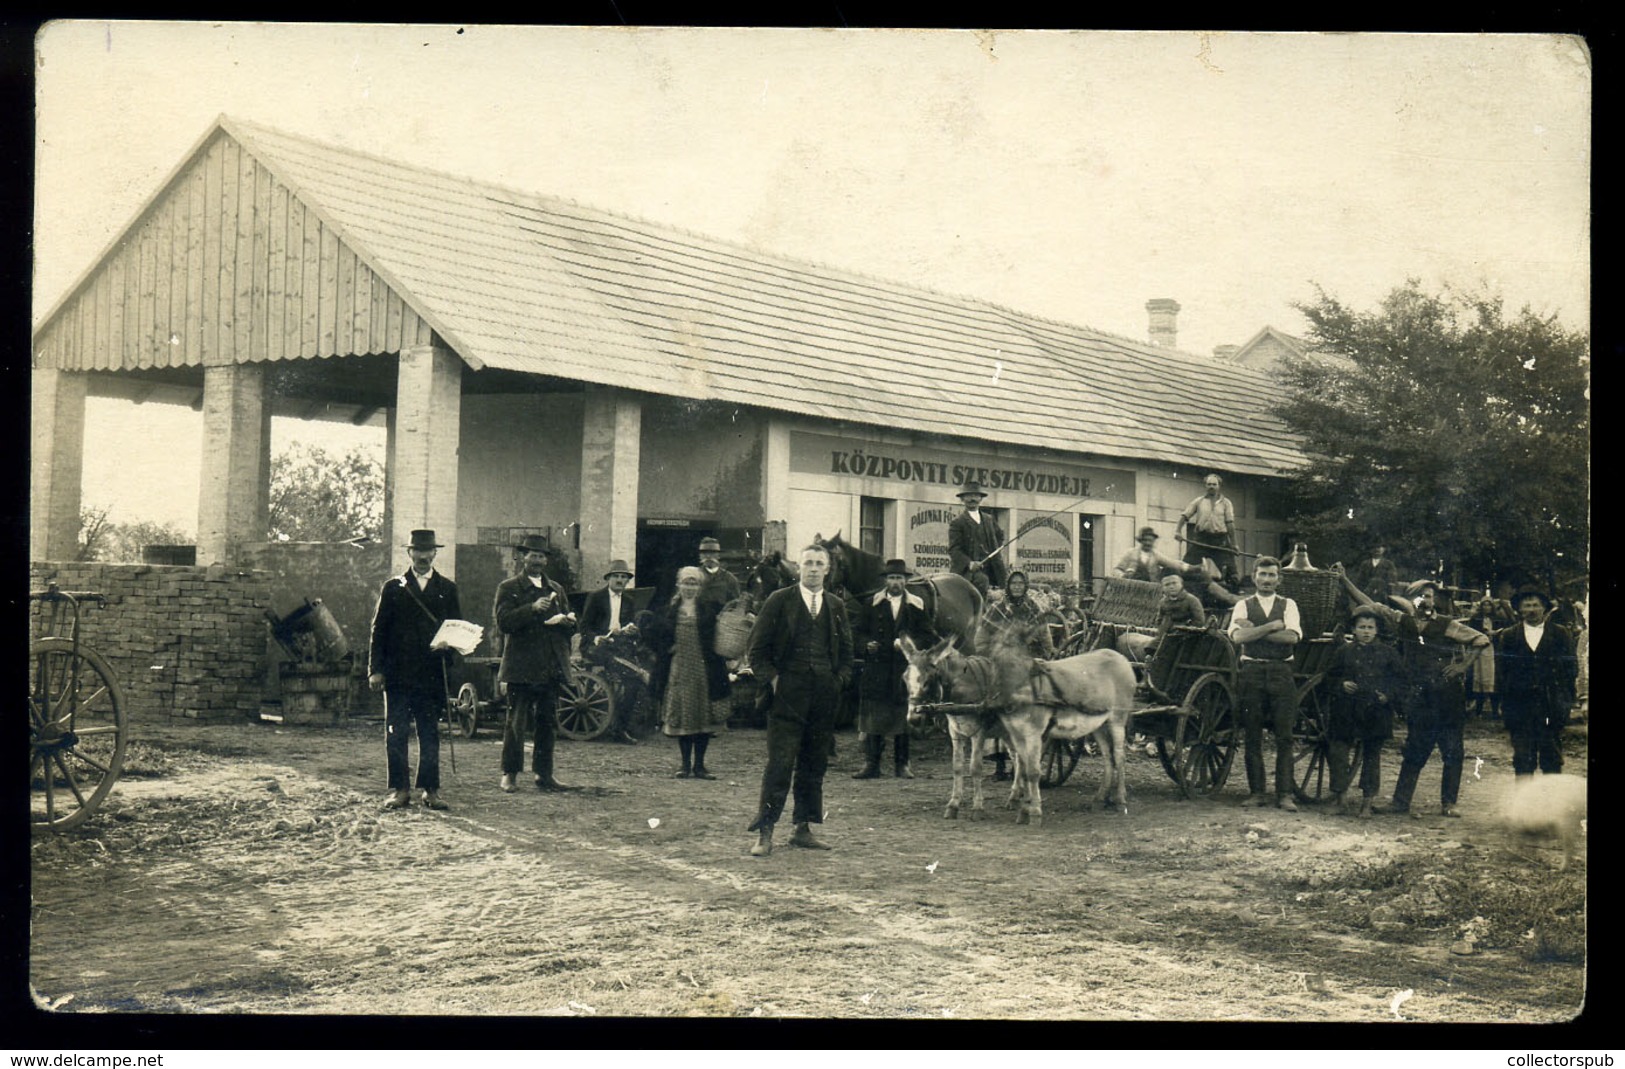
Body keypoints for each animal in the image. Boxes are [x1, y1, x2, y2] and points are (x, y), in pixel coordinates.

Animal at [903, 627, 1144, 818]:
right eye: (905, 678)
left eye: (927, 680)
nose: (913, 718)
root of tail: (1120, 657)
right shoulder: (957, 733)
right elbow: (956, 768)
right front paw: (953, 805)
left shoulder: (980, 733)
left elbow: (975, 768)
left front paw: (977, 808)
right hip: (1098, 724)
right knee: (1106, 757)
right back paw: (1098, 798)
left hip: (1116, 720)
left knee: (1119, 756)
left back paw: (1120, 800)